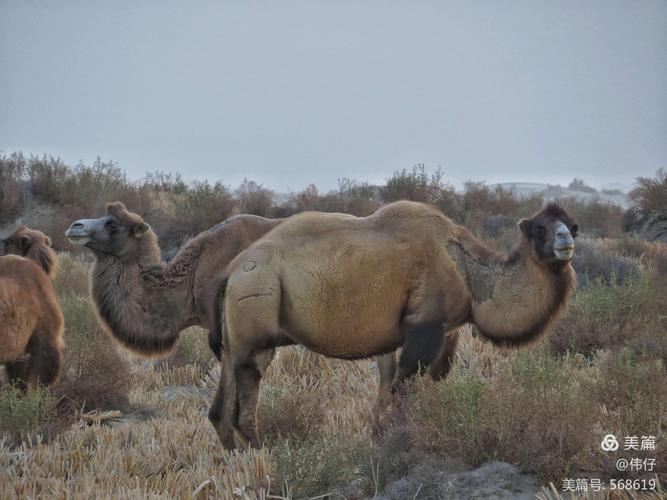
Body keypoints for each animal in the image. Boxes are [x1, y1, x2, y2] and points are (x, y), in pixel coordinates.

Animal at [214, 200, 580, 450]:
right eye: (540, 229)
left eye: (573, 226)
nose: (566, 241)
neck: (465, 271)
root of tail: (231, 270)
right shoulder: (424, 325)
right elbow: (404, 387)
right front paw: (402, 438)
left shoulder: (433, 334)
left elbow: (396, 384)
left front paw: (379, 436)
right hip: (256, 309)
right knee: (246, 387)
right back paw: (263, 454)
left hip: (240, 336)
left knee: (222, 403)